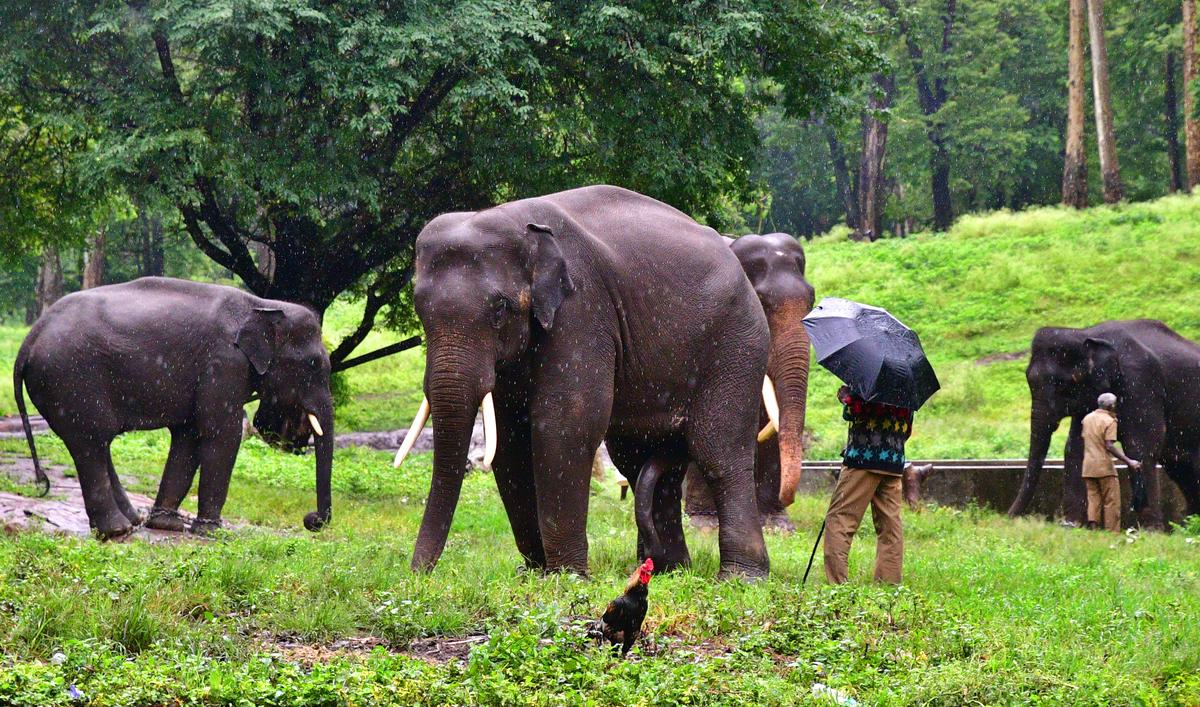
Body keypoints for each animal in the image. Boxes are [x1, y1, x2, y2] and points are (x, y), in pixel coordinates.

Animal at [13, 277, 334, 538]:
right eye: (314, 364)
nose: (311, 519)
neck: (263, 305)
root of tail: (29, 340)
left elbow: (188, 437)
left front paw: (166, 525)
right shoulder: (223, 364)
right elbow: (222, 435)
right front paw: (211, 533)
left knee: (97, 442)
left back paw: (133, 522)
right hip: (70, 379)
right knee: (90, 442)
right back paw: (117, 531)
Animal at [395, 185, 771, 578]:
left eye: (499, 309)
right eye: (420, 309)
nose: (419, 574)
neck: (517, 220)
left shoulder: (581, 309)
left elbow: (565, 423)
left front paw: (566, 575)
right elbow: (510, 441)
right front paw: (535, 571)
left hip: (738, 342)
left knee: (718, 449)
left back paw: (742, 577)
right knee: (640, 460)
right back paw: (666, 569)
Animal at [1007, 320, 1200, 527]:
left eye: (1062, 384)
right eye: (1028, 378)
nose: (1008, 518)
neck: (1086, 334)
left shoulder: (1140, 382)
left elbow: (1141, 446)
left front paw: (1151, 531)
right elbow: (1076, 448)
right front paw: (1071, 525)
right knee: (1181, 468)